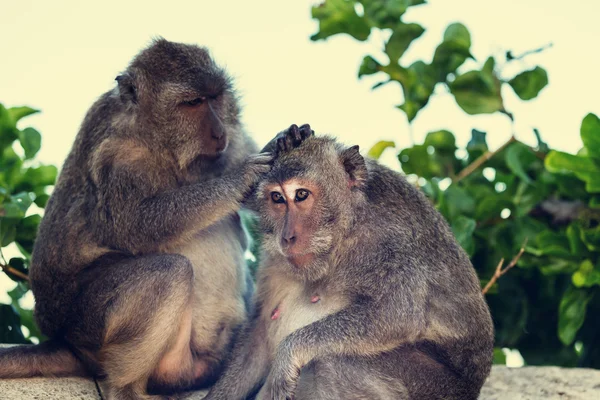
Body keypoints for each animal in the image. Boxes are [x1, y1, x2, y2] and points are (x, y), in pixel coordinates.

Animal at [0, 38, 314, 400]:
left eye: (216, 97)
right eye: (192, 103)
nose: (219, 131)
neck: (158, 142)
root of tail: (65, 342)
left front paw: (284, 140)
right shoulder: (118, 157)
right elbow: (136, 226)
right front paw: (242, 177)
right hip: (87, 324)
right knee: (168, 272)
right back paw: (126, 387)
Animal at [204, 135, 494, 400]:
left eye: (301, 195)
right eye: (277, 198)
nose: (287, 237)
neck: (344, 233)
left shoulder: (390, 245)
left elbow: (396, 314)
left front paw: (289, 353)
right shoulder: (275, 260)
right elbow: (259, 334)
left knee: (330, 364)